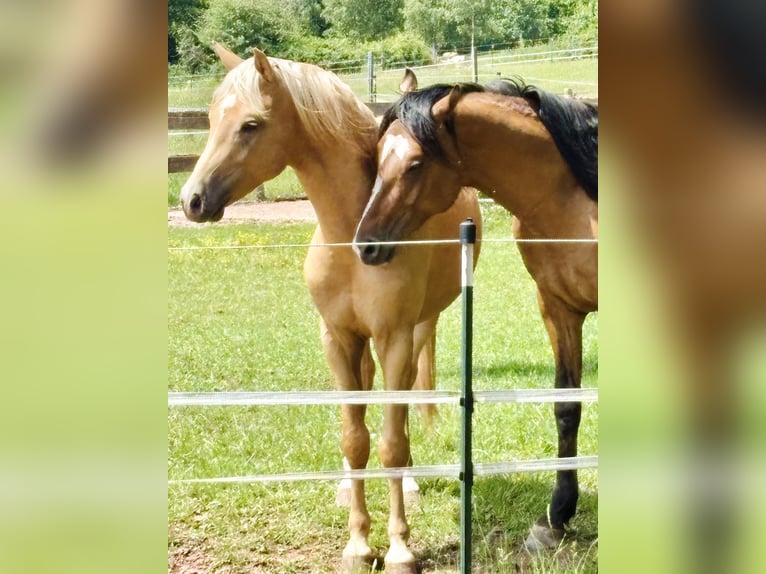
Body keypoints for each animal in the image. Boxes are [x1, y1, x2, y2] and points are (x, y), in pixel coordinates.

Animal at [180, 46, 482, 573]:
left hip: (419, 329)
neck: (352, 236)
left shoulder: (394, 337)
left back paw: (412, 483)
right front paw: (359, 543)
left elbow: (392, 443)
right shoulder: (337, 338)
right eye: (214, 118)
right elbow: (354, 438)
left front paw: (399, 548)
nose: (191, 200)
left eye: (251, 125)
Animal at [353, 79, 598, 550]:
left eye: (415, 164)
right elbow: (567, 407)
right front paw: (556, 517)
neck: (574, 200)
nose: (366, 244)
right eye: (377, 159)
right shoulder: (558, 308)